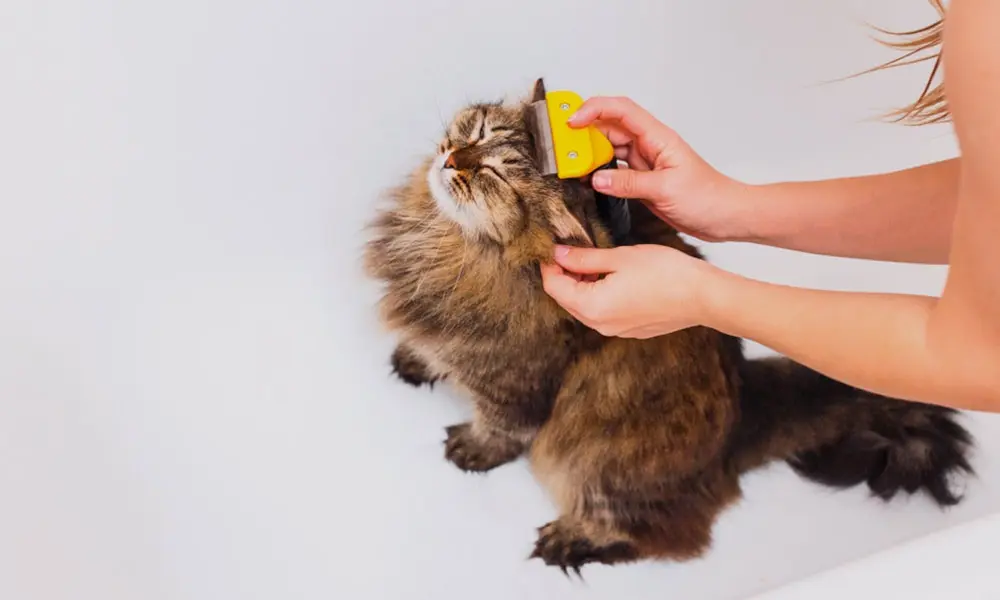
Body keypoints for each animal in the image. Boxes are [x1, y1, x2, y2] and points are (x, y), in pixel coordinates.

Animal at [364, 78, 972, 572]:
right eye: (479, 130)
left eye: (491, 172)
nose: (452, 158)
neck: (447, 245)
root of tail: (744, 410)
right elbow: (432, 352)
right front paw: (415, 360)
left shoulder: (516, 383)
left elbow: (500, 429)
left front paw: (473, 449)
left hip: (596, 463)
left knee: (660, 537)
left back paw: (570, 539)